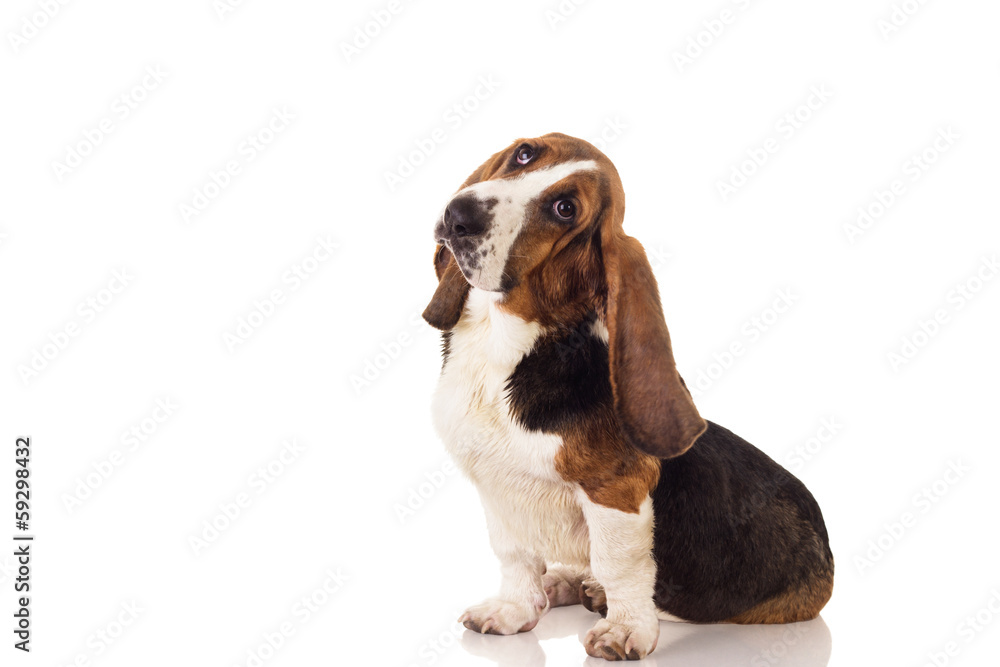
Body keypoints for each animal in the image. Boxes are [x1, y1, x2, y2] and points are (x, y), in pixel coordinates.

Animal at [422, 133, 836, 660]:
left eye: (564, 209)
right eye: (524, 153)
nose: (460, 214)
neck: (498, 349)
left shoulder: (616, 492)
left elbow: (619, 564)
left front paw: (623, 631)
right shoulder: (497, 491)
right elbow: (515, 556)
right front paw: (514, 610)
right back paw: (565, 583)